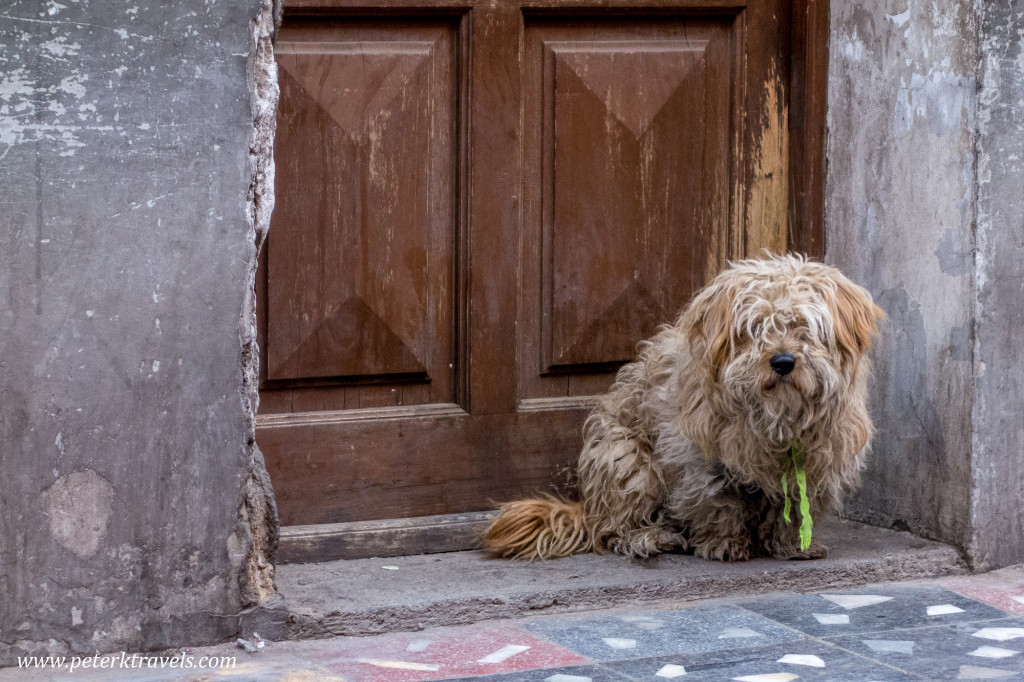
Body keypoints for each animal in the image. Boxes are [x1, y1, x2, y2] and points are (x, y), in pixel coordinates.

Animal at [483, 251, 884, 561]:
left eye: (804, 327)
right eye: (755, 328)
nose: (783, 361)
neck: (776, 415)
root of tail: (590, 507)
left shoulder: (816, 459)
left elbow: (794, 511)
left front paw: (791, 546)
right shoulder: (698, 457)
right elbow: (719, 503)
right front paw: (724, 543)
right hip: (626, 459)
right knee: (614, 530)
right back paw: (653, 536)